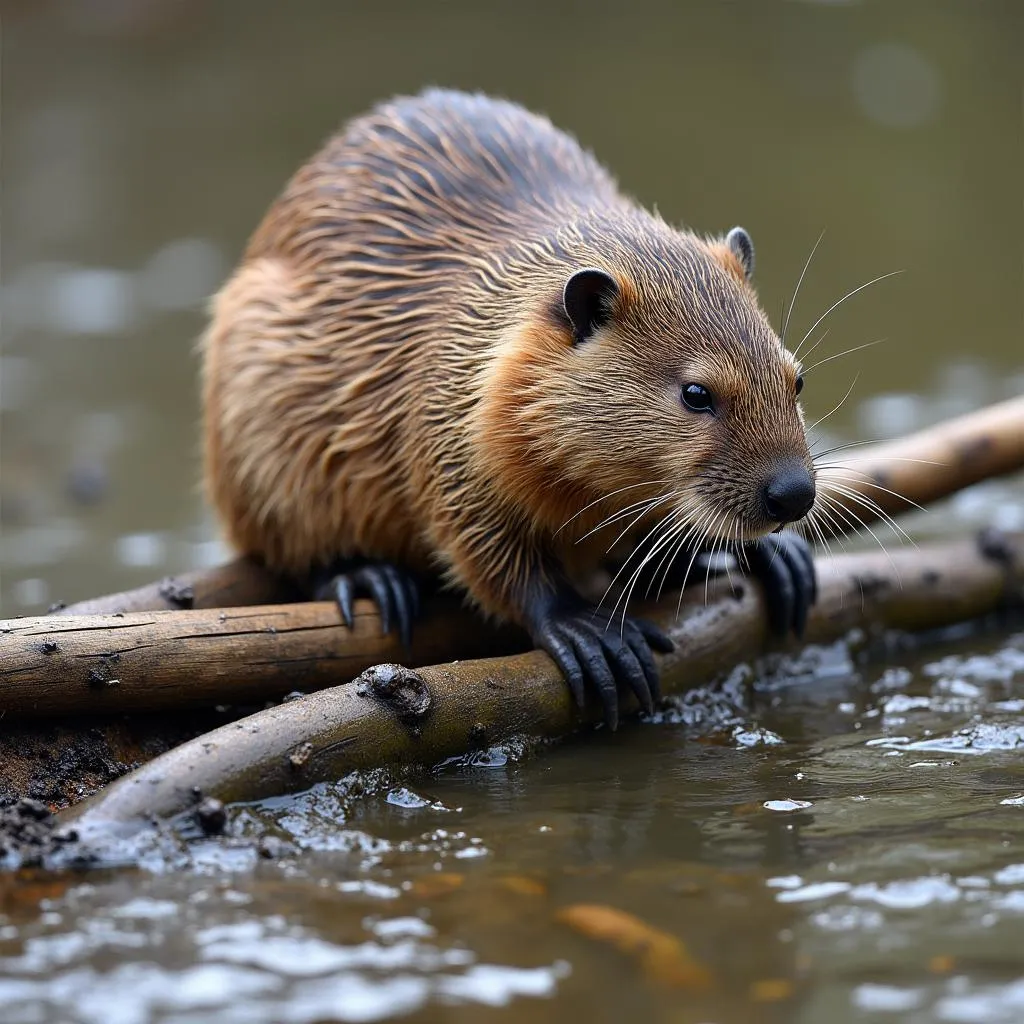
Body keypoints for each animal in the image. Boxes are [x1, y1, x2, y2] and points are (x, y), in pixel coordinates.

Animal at [203, 88, 819, 729]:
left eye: (796, 380)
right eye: (697, 394)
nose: (793, 494)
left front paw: (773, 555)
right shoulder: (444, 413)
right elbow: (480, 540)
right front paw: (589, 634)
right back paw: (369, 579)